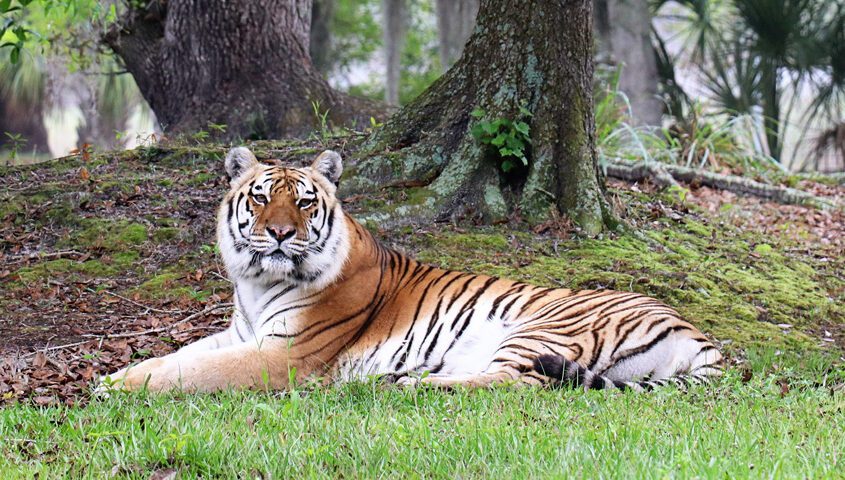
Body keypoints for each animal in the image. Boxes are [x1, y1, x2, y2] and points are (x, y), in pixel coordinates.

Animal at [97, 147, 720, 394]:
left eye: (304, 203)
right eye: (260, 198)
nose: (278, 234)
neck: (256, 282)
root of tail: (698, 333)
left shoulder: (284, 355)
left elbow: (192, 373)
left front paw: (119, 387)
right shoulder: (239, 335)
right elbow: (177, 356)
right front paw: (114, 375)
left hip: (542, 330)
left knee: (515, 382)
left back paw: (411, 384)